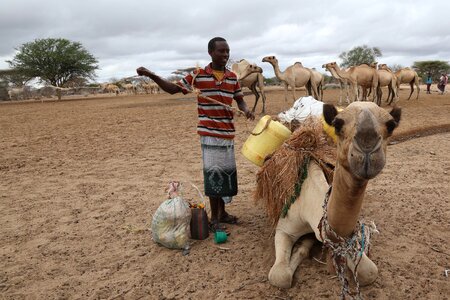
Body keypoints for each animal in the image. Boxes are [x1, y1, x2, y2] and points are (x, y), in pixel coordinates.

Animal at [256, 102, 400, 296]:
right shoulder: (284, 229)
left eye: (391, 125)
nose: (367, 146)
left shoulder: (345, 241)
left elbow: (369, 272)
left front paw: (307, 246)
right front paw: (303, 249)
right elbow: (280, 276)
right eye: (338, 124)